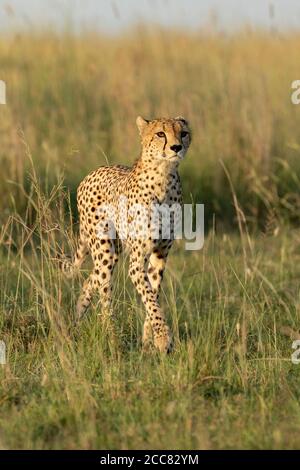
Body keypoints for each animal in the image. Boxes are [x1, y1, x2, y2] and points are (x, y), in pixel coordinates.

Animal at [62, 116, 192, 352]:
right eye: (160, 134)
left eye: (183, 133)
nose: (176, 147)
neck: (164, 176)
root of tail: (92, 173)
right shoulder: (137, 262)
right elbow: (150, 298)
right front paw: (162, 338)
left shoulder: (161, 254)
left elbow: (153, 295)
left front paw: (149, 341)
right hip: (104, 251)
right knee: (104, 292)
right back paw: (112, 338)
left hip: (114, 250)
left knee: (90, 280)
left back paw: (76, 319)